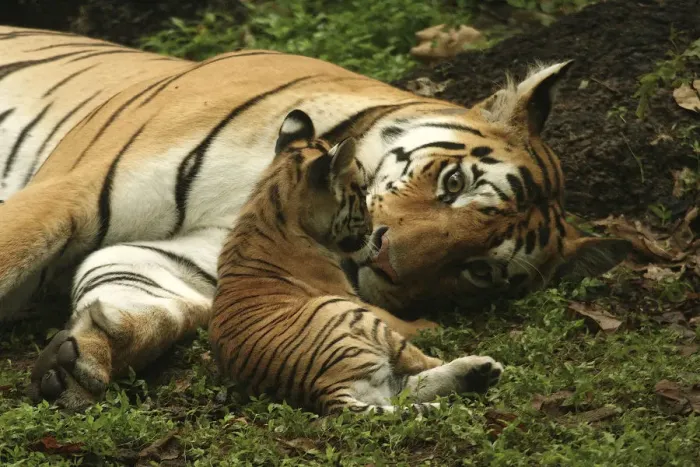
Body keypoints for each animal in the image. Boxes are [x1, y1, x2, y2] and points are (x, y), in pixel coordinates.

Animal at [209, 109, 503, 415]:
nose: (372, 229)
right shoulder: (352, 298)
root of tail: (322, 390)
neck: (267, 201)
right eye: (361, 192)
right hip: (352, 315)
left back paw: (478, 374)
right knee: (416, 363)